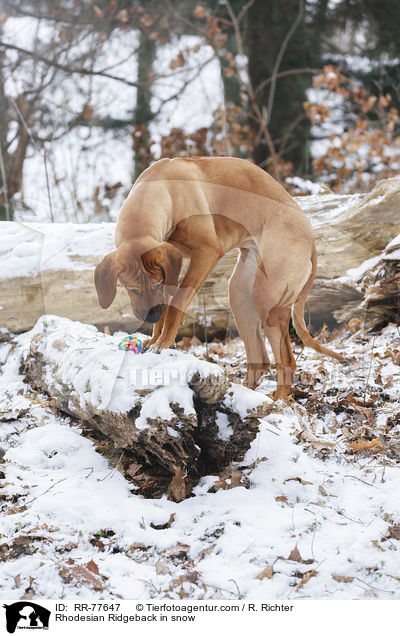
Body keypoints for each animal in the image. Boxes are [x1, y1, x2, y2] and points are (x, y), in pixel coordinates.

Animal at [94, 157, 346, 400]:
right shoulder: (167, 263)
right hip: (241, 293)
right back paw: (245, 395)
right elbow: (167, 304)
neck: (162, 187)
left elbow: (176, 304)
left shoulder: (206, 253)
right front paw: (156, 337)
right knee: (260, 359)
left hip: (268, 299)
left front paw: (163, 342)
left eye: (153, 286)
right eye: (133, 290)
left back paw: (278, 402)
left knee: (286, 361)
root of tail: (310, 238)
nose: (151, 315)